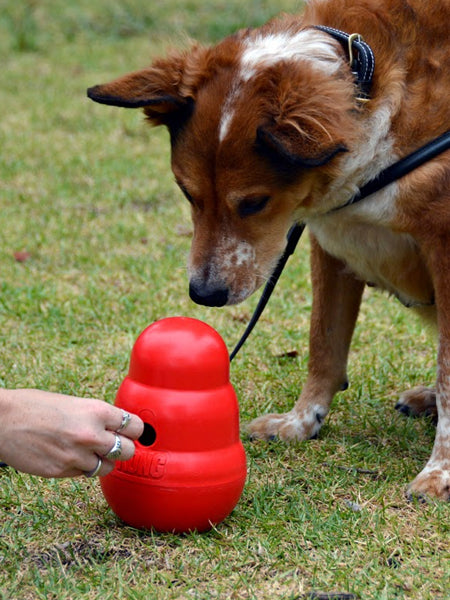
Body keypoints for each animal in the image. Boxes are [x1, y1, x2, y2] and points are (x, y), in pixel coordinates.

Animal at [89, 0, 450, 500]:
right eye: (186, 192)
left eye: (254, 202)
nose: (204, 295)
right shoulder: (332, 241)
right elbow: (324, 344)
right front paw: (302, 421)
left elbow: (448, 373)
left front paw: (440, 470)